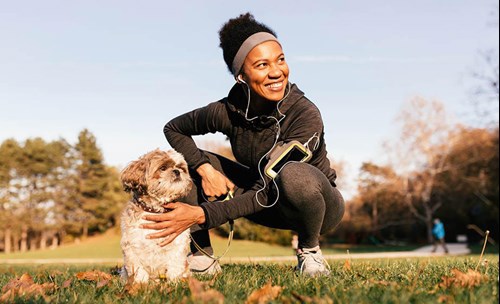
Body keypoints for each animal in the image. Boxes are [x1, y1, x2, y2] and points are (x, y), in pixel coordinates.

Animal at [119, 149, 193, 282]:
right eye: (163, 168)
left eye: (181, 167)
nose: (177, 171)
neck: (154, 210)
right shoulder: (132, 246)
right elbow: (138, 270)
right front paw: (140, 284)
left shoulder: (177, 245)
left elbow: (175, 266)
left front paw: (174, 282)